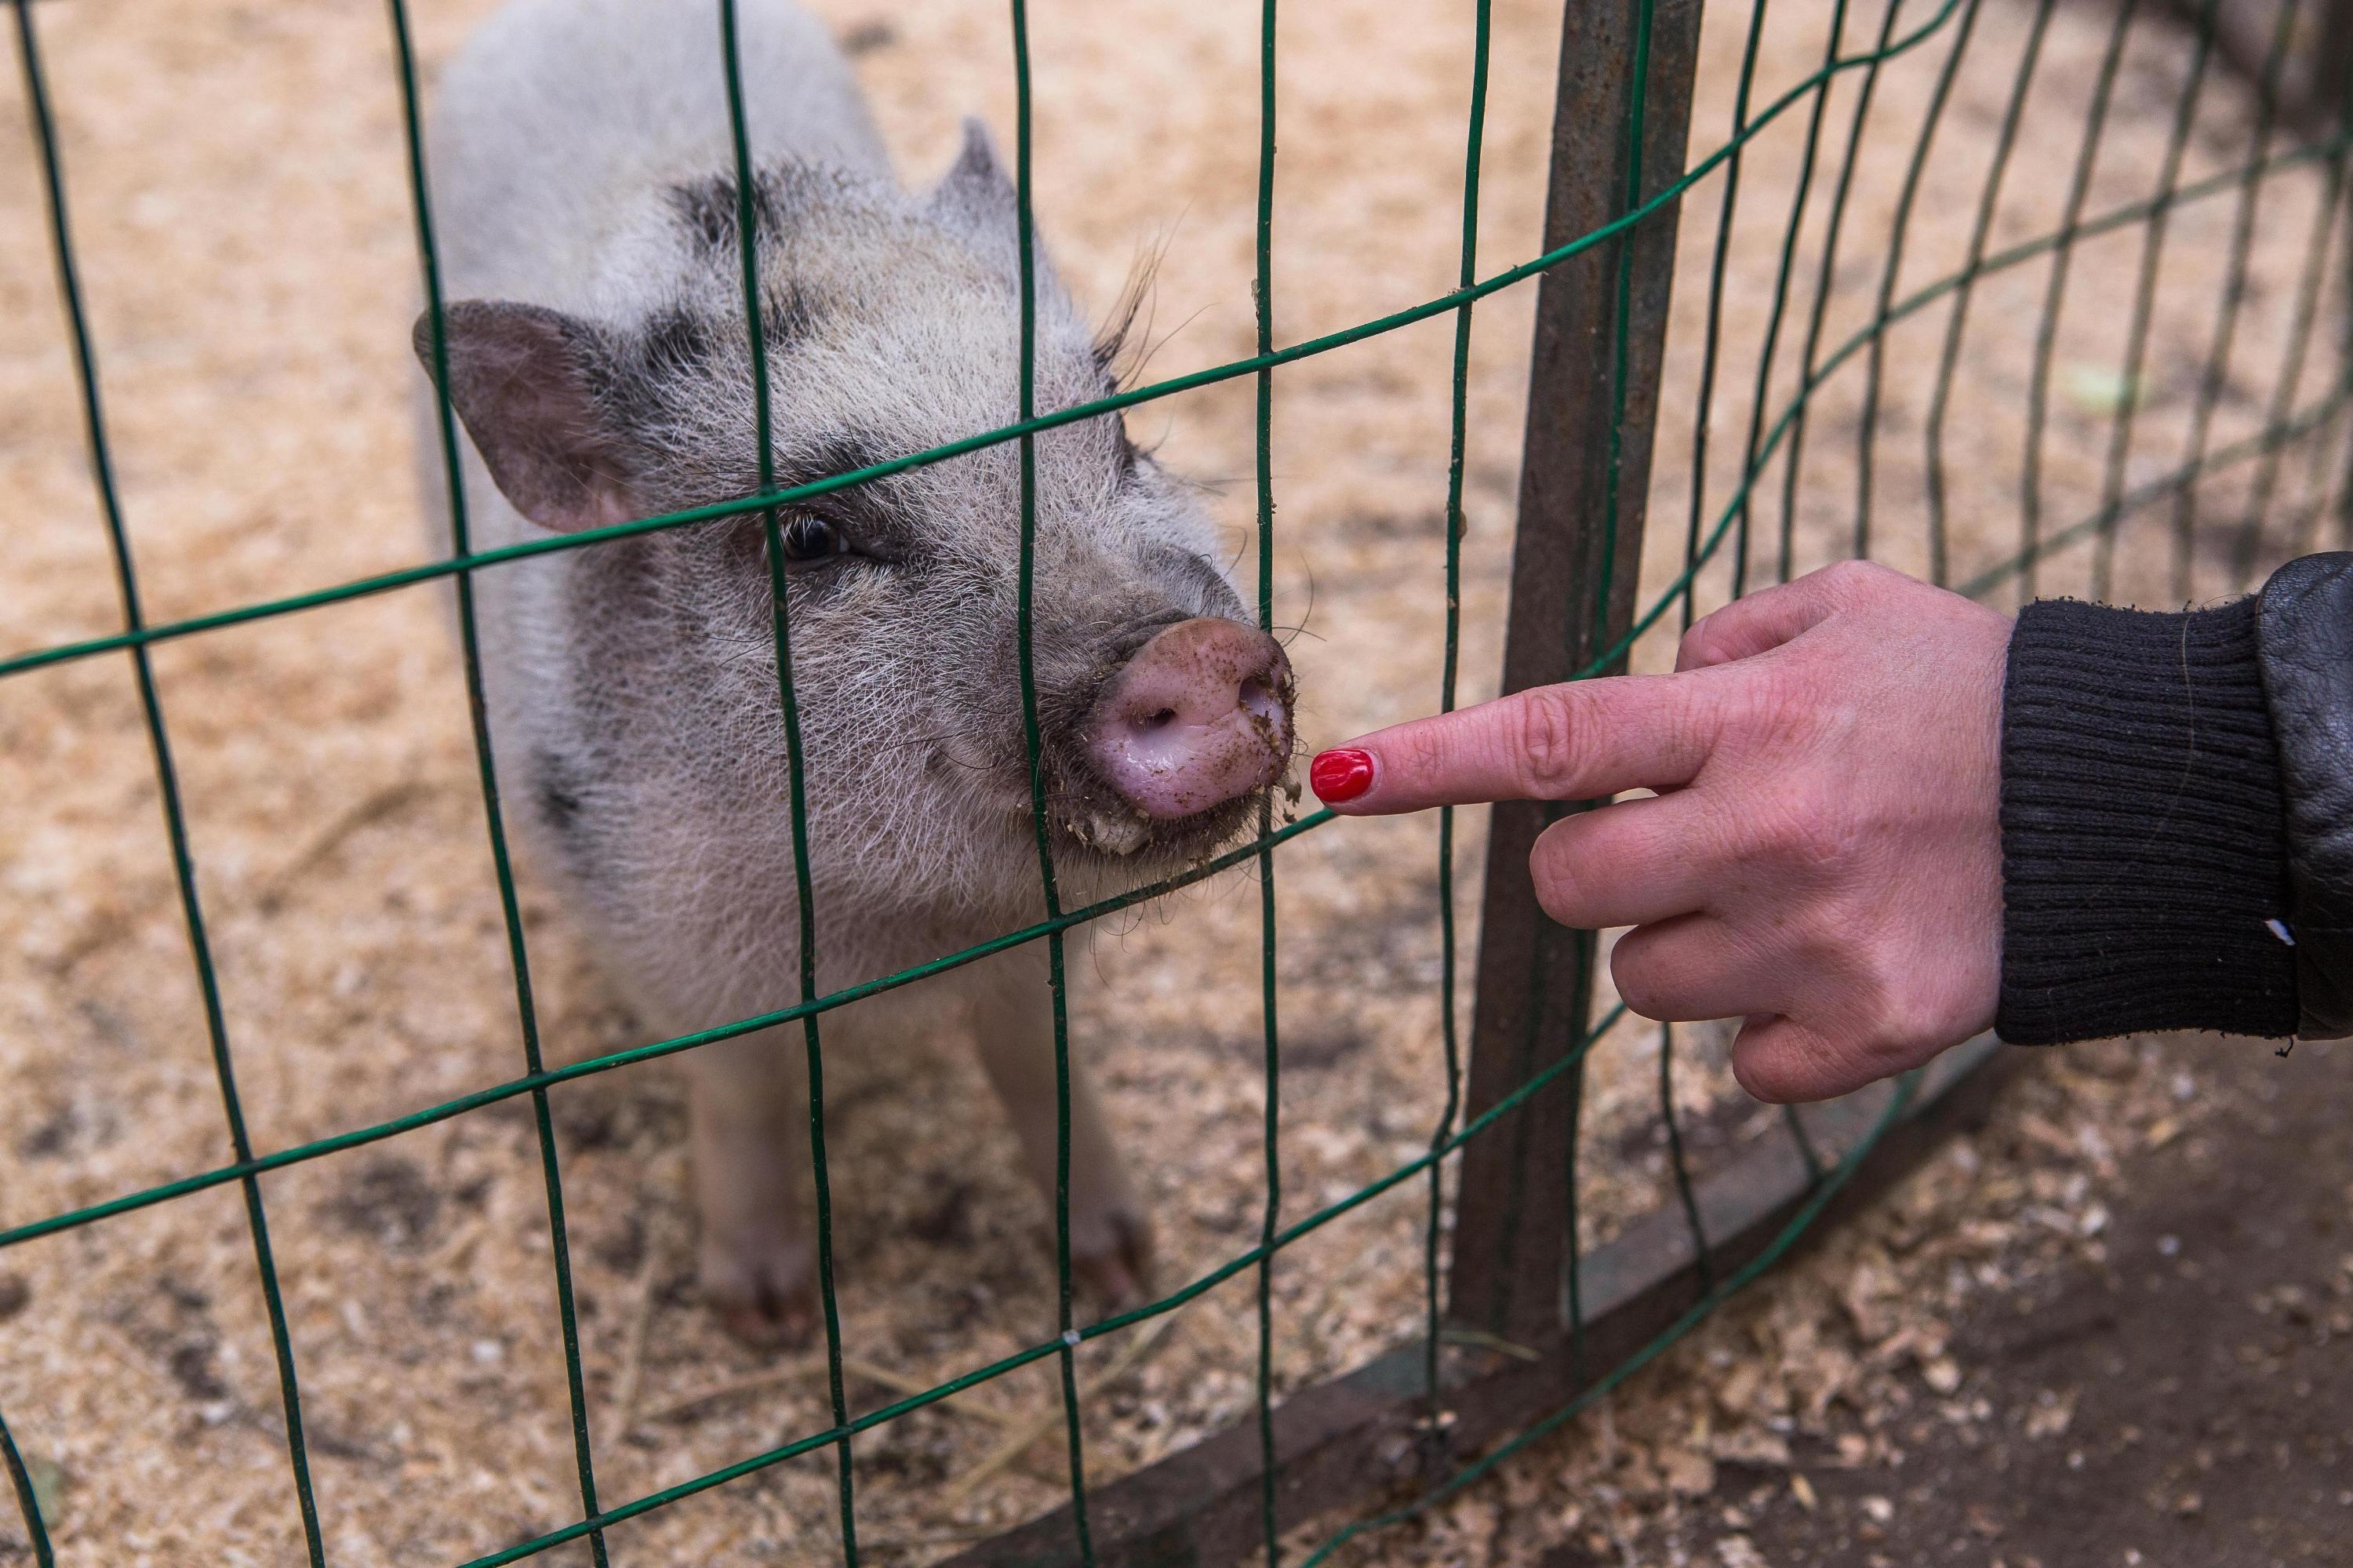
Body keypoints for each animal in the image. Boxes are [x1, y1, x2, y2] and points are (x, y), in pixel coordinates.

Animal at [419, 0, 1308, 1346]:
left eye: (1116, 428)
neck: (893, 930)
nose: (1192, 650)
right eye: (810, 537)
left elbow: (1040, 1065)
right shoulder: (665, 938)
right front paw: (768, 1319)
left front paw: (1125, 1274)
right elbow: (740, 1096)